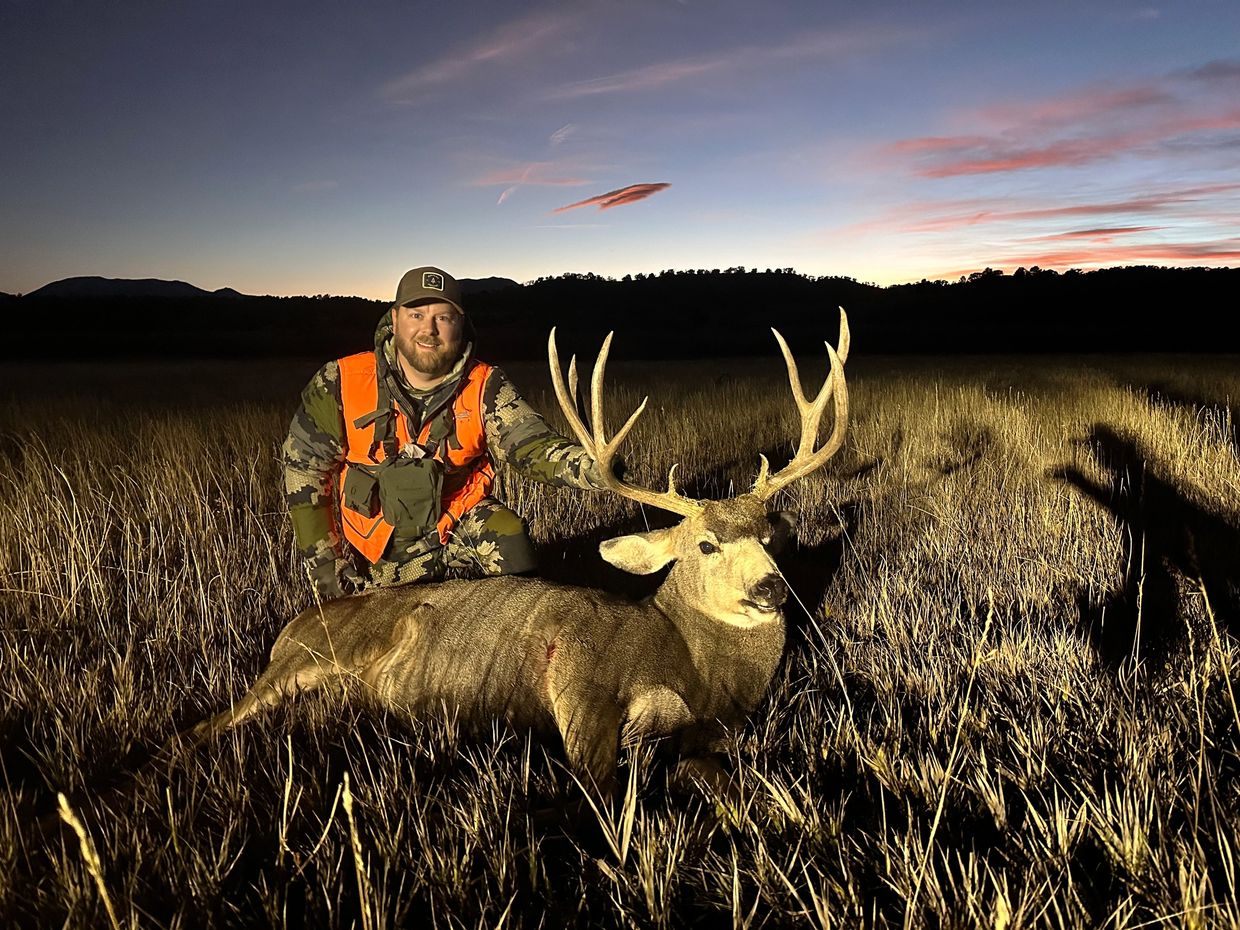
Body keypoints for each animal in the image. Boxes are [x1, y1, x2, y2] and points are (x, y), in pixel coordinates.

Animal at [192, 311, 850, 797]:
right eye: (706, 544)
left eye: (768, 535)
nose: (770, 588)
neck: (696, 668)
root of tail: (291, 627)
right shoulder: (582, 682)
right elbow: (601, 790)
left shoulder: (712, 732)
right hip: (299, 666)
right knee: (211, 722)